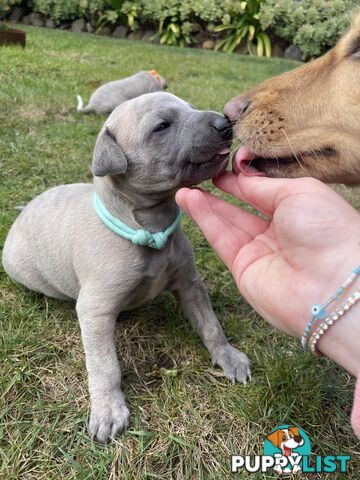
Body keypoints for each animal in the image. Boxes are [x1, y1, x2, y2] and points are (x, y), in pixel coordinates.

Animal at [2, 92, 250, 444]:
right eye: (162, 126)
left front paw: (227, 355)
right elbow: (105, 365)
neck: (145, 226)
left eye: (190, 108)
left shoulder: (189, 284)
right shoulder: (95, 310)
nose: (225, 122)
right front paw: (107, 409)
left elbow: (210, 324)